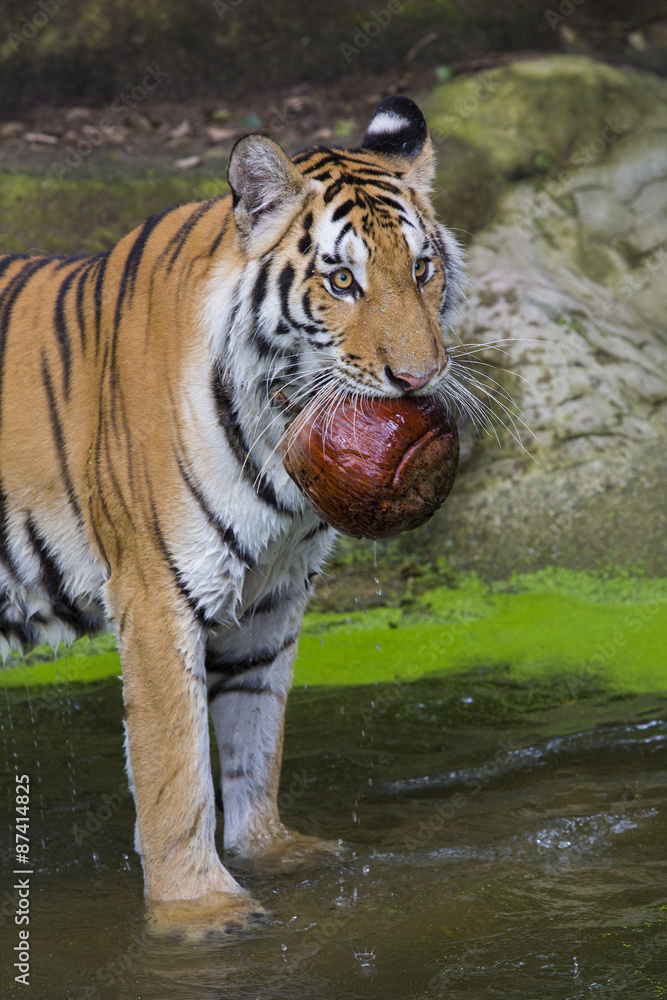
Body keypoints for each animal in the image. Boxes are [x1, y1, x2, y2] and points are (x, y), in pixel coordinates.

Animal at [0, 96, 464, 934]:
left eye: (420, 268)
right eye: (341, 280)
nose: (418, 377)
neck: (274, 426)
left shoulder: (272, 593)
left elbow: (255, 732)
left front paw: (272, 852)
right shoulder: (156, 594)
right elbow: (175, 772)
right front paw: (201, 909)